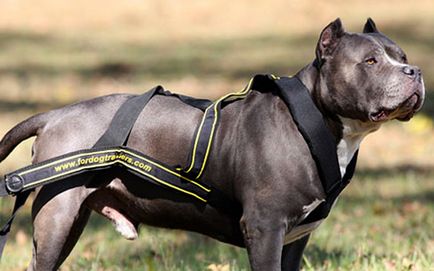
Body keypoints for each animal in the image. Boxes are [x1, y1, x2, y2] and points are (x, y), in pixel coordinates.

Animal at [0, 18, 424, 270]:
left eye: (401, 56)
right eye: (370, 62)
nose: (415, 71)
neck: (313, 122)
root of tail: (54, 115)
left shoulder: (295, 239)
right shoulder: (265, 229)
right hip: (58, 218)